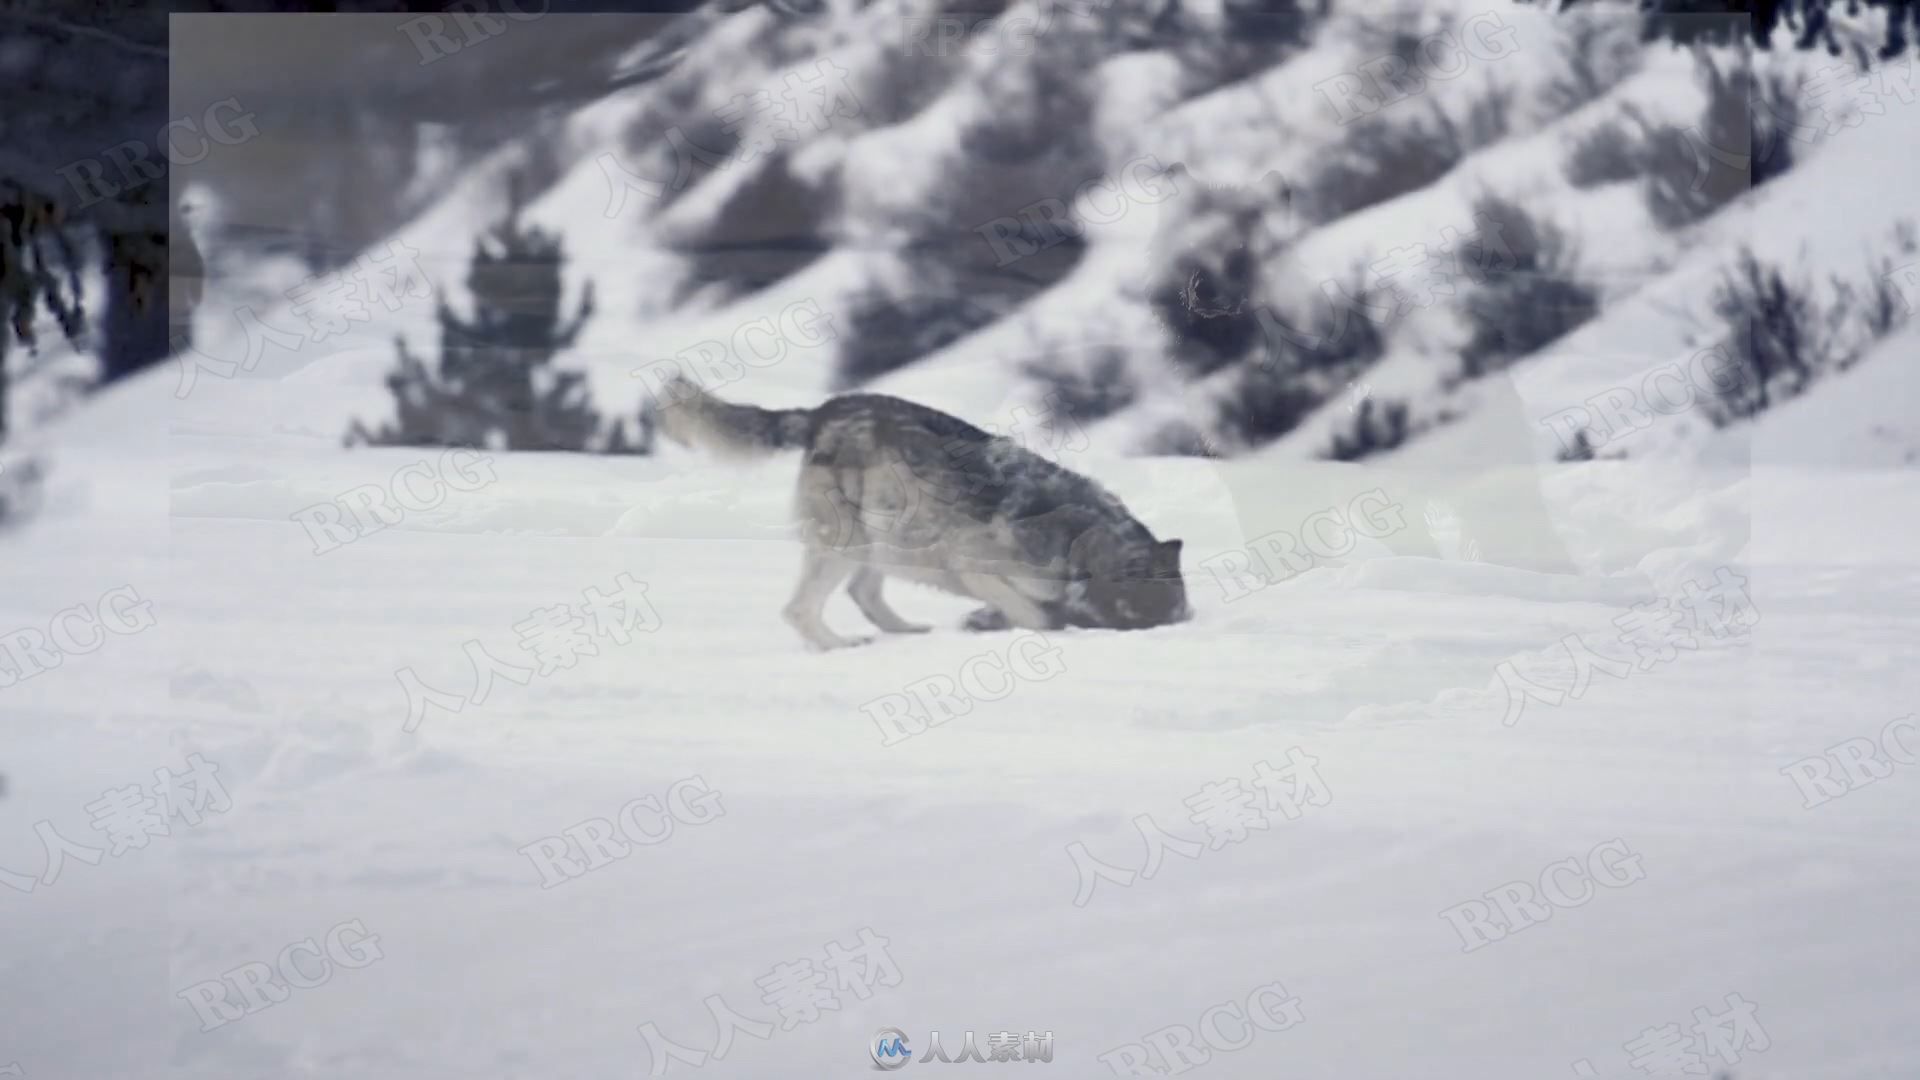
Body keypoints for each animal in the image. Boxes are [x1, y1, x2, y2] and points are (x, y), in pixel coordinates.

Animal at [652, 378, 1182, 645]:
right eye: (1153, 611)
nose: (1182, 621)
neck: (1079, 547)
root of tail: (823, 409)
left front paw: (983, 623)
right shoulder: (974, 566)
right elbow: (1041, 617)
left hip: (886, 541)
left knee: (862, 594)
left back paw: (904, 630)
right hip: (850, 544)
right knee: (799, 609)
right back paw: (838, 644)